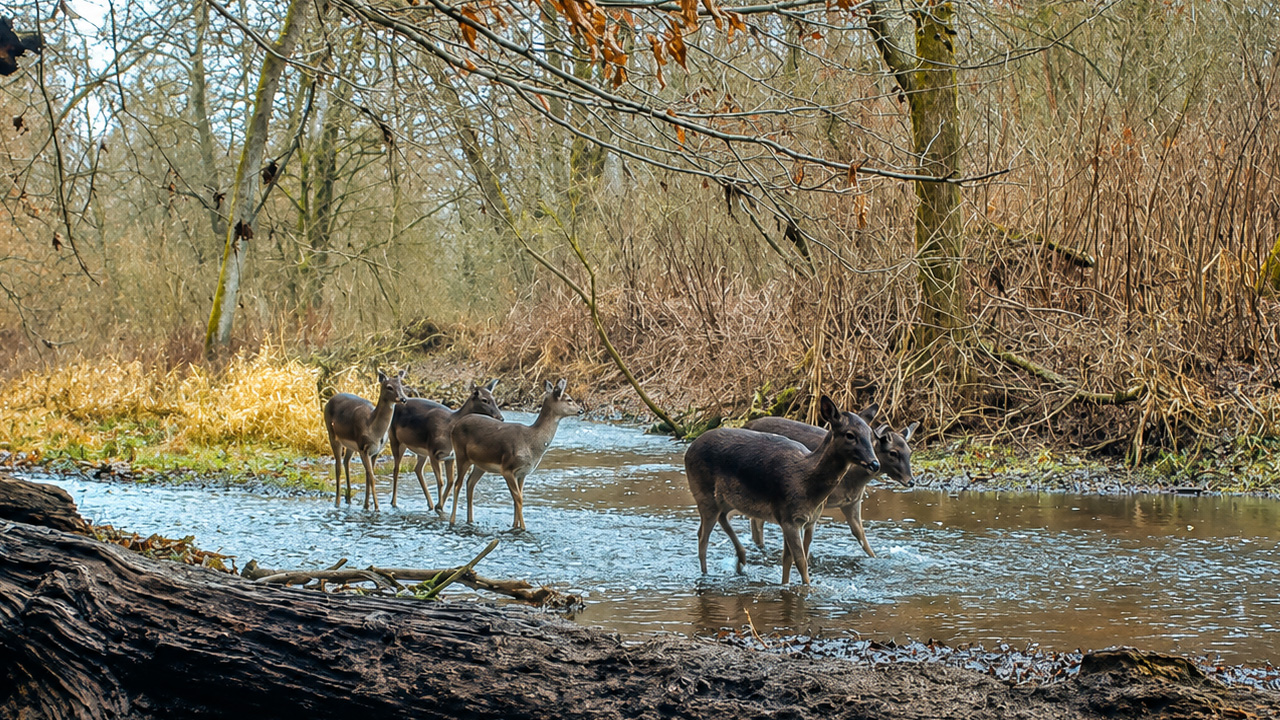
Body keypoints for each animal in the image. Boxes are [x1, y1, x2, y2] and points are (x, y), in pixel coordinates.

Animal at [322, 369, 408, 511]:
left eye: (401, 385)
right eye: (389, 387)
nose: (403, 399)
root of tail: (328, 401)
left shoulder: (375, 452)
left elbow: (369, 476)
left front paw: (366, 505)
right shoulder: (364, 448)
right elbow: (372, 477)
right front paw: (377, 508)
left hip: (351, 445)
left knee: (346, 461)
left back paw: (349, 499)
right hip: (332, 434)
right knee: (338, 466)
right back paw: (337, 502)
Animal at [388, 379, 504, 510]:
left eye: (494, 398)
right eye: (484, 400)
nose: (501, 418)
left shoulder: (450, 456)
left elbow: (450, 481)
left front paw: (439, 505)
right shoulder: (434, 452)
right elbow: (441, 482)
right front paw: (440, 507)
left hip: (422, 451)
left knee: (417, 469)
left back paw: (430, 504)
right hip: (395, 439)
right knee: (396, 468)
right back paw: (394, 502)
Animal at [446, 379, 582, 530]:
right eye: (569, 399)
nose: (581, 410)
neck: (531, 443)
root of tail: (455, 427)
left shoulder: (522, 473)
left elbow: (518, 498)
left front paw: (515, 525)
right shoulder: (508, 468)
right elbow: (518, 498)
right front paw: (523, 528)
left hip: (480, 465)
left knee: (470, 483)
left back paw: (470, 520)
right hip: (461, 455)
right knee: (457, 484)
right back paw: (452, 521)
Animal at [685, 395, 880, 585]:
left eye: (871, 436)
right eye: (850, 435)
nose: (875, 464)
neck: (806, 482)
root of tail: (689, 450)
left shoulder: (797, 519)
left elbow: (787, 560)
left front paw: (784, 584)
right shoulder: (790, 518)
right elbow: (800, 562)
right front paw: (808, 589)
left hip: (727, 500)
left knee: (721, 518)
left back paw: (741, 559)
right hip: (703, 493)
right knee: (702, 537)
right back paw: (707, 574)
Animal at [744, 409, 918, 558]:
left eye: (910, 452)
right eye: (893, 453)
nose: (911, 481)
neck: (853, 479)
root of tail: (747, 424)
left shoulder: (853, 502)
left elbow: (860, 535)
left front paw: (877, 558)